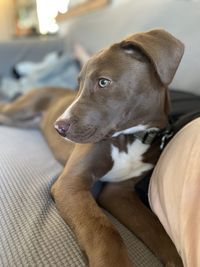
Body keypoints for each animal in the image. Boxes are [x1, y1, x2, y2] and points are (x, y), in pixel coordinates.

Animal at [0, 29, 184, 266]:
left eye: (103, 82)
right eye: (78, 84)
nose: (58, 127)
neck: (130, 138)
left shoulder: (119, 192)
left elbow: (159, 232)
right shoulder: (70, 184)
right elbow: (104, 231)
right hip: (19, 110)